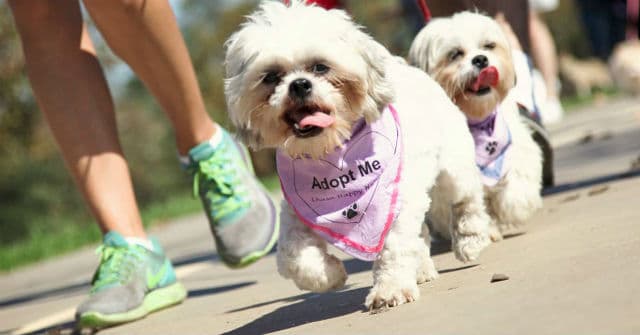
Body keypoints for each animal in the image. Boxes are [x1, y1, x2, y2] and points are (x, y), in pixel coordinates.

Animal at [224, 1, 490, 312]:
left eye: (320, 67)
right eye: (271, 77)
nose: (299, 84)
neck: (332, 150)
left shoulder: (393, 203)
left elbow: (394, 248)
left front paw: (390, 289)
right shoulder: (295, 212)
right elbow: (292, 257)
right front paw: (329, 275)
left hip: (452, 167)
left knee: (467, 199)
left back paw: (470, 239)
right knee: (422, 234)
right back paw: (422, 268)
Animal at [408, 11, 544, 242]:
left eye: (488, 46)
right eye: (455, 54)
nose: (480, 59)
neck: (475, 119)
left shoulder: (512, 147)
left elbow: (516, 184)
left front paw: (511, 206)